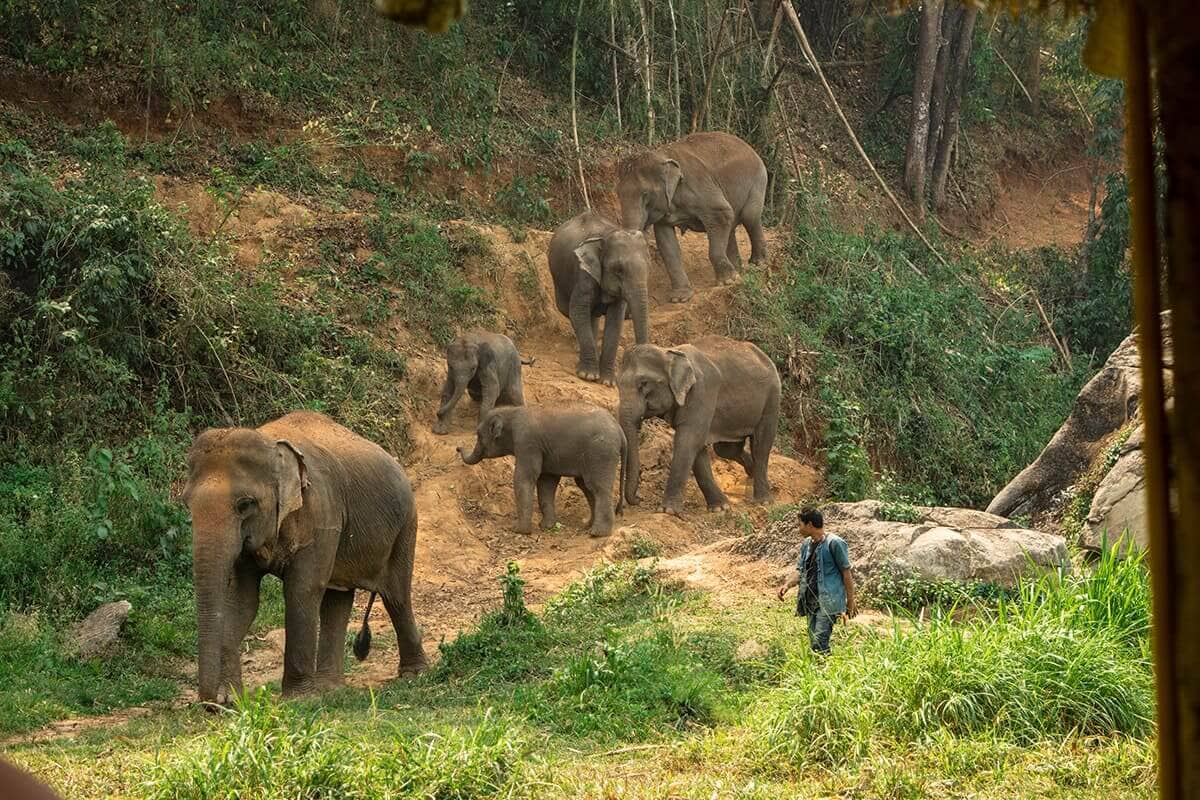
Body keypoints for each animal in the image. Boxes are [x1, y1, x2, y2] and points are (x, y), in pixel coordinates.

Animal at [182, 410, 427, 705]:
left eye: (245, 505)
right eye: (186, 504)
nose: (211, 705)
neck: (270, 443)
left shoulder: (323, 516)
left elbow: (303, 589)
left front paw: (297, 699)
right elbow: (242, 600)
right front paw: (232, 699)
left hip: (405, 525)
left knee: (396, 596)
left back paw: (413, 674)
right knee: (337, 598)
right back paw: (330, 688)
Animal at [457, 405, 626, 536]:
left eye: (479, 435)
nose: (458, 448)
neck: (513, 411)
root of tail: (620, 430)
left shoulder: (527, 443)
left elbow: (523, 478)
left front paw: (519, 530)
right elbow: (546, 483)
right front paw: (546, 527)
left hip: (601, 453)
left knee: (597, 487)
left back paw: (597, 533)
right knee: (586, 487)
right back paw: (588, 525)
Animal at [548, 211, 652, 385]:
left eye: (648, 267)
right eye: (618, 270)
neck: (606, 235)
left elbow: (615, 321)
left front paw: (608, 382)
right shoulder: (584, 273)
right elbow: (577, 310)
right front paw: (588, 376)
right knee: (569, 311)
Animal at [617, 131, 768, 303]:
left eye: (645, 194)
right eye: (618, 194)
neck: (661, 155)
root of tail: (750, 147)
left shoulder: (699, 185)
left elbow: (722, 213)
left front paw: (726, 282)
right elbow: (665, 242)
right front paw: (680, 298)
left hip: (758, 181)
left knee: (749, 217)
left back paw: (757, 265)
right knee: (731, 227)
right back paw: (738, 272)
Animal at [618, 335, 780, 516]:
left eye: (644, 383)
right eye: (617, 384)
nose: (639, 498)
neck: (669, 352)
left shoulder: (702, 391)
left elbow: (688, 440)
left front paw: (667, 511)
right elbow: (696, 446)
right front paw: (720, 508)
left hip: (772, 398)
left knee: (761, 444)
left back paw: (764, 500)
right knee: (726, 449)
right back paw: (751, 475)